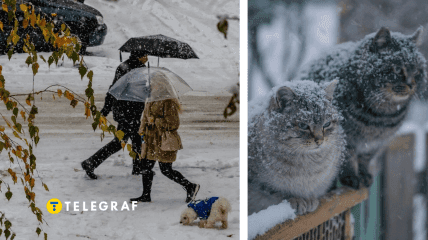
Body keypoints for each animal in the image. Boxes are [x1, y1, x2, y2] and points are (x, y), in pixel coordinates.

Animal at [247, 80, 344, 216]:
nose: (320, 140)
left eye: (327, 124)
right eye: (303, 125)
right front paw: (296, 200)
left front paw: (309, 199)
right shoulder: (257, 181)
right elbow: (275, 192)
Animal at [298, 27, 428, 188]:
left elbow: (365, 159)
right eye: (398, 69)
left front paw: (364, 175)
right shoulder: (345, 137)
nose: (411, 84)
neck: (382, 115)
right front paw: (351, 177)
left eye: (416, 71)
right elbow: (348, 158)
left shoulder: (375, 143)